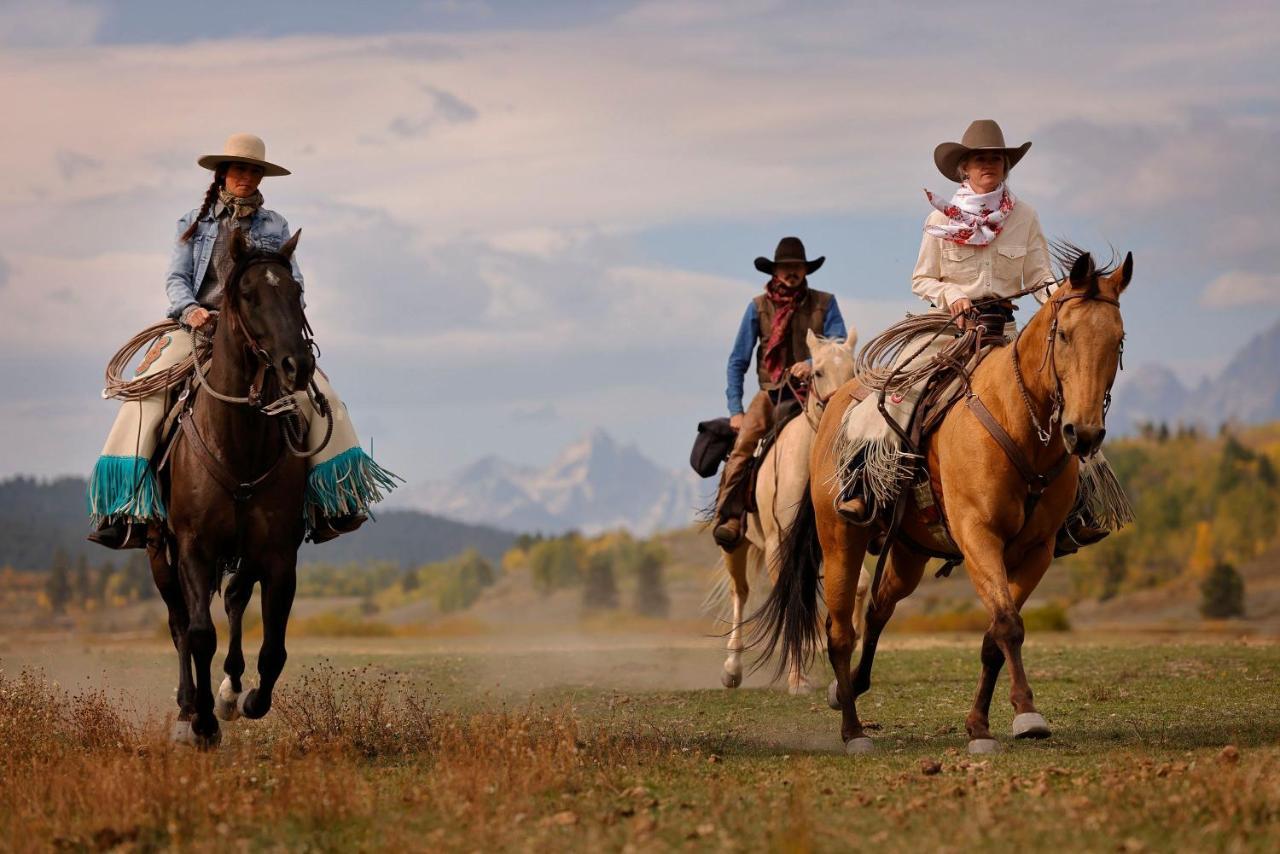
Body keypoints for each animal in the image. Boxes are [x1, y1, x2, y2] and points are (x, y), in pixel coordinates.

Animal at [149, 226, 322, 747]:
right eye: (247, 294)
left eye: (296, 292)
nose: (297, 365)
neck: (237, 441)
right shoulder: (194, 547)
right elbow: (199, 634)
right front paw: (203, 723)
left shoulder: (278, 554)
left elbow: (274, 647)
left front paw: (244, 700)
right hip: (159, 552)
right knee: (180, 622)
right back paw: (188, 709)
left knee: (233, 599)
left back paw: (227, 692)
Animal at [716, 327, 875, 696]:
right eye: (816, 372)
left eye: (854, 371)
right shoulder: (781, 543)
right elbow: (790, 601)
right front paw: (797, 678)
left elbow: (859, 584)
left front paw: (850, 642)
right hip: (736, 545)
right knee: (740, 593)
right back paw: (732, 669)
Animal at [747, 247, 1131, 752]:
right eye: (1064, 334)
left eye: (1118, 340)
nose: (1082, 433)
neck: (1018, 423)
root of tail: (832, 411)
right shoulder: (978, 537)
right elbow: (1008, 624)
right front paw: (1022, 715)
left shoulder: (1037, 551)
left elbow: (995, 635)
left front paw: (988, 723)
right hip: (840, 539)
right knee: (840, 631)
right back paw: (853, 731)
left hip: (909, 551)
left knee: (879, 607)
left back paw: (851, 687)